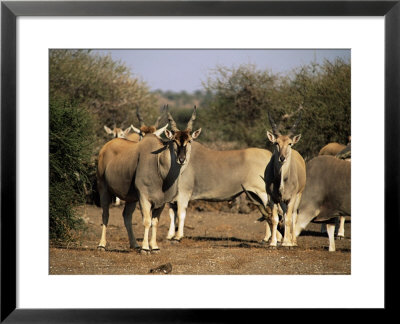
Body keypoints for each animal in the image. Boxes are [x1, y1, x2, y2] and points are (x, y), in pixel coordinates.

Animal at [97, 109, 168, 248]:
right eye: (140, 133)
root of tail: (106, 146)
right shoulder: (143, 197)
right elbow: (146, 220)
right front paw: (146, 247)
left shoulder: (160, 202)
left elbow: (155, 221)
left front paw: (154, 246)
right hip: (103, 189)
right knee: (105, 214)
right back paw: (102, 244)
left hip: (131, 198)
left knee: (126, 216)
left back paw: (134, 244)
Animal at [166, 109, 276, 243]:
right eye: (174, 140)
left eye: (189, 141)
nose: (181, 159)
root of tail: (269, 155)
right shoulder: (172, 199)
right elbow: (172, 214)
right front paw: (170, 236)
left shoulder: (183, 194)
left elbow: (181, 214)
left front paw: (178, 236)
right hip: (255, 194)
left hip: (263, 193)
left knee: (272, 211)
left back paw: (271, 239)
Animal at [266, 110, 306, 247]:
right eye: (276, 143)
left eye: (290, 143)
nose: (282, 158)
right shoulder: (272, 197)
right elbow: (274, 219)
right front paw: (273, 243)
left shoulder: (292, 197)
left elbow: (289, 218)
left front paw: (287, 244)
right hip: (283, 200)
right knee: (283, 214)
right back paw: (284, 239)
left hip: (298, 195)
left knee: (293, 215)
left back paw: (292, 241)